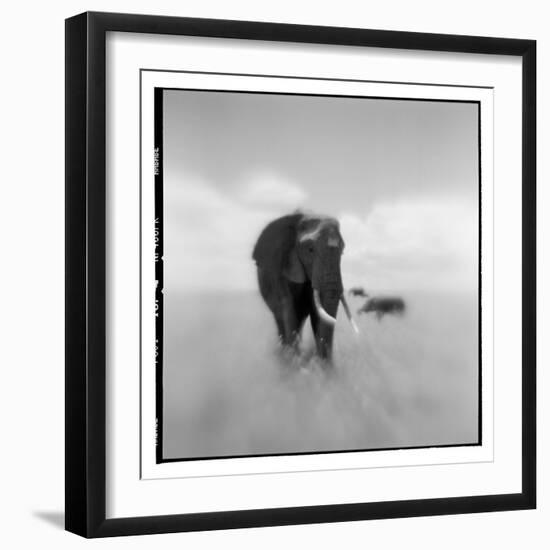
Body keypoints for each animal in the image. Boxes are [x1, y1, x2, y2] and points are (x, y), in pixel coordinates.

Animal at [253, 212, 360, 362]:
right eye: (310, 250)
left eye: (342, 250)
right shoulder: (279, 268)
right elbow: (288, 309)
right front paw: (294, 362)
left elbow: (316, 313)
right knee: (280, 318)